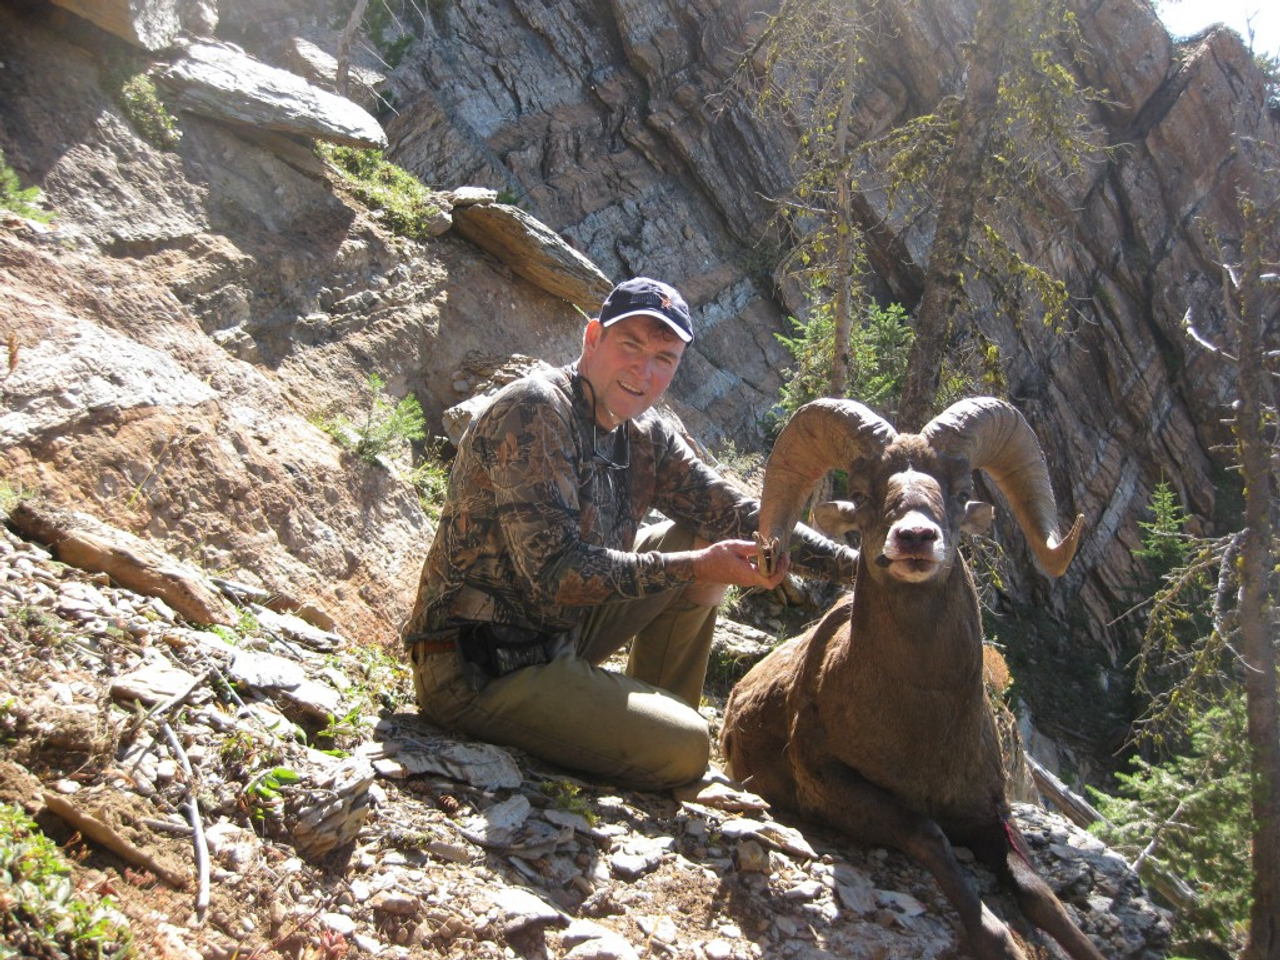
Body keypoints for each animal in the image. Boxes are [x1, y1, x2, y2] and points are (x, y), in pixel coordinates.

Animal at [721, 396, 1100, 960]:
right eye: (861, 494)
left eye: (961, 493)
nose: (916, 537)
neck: (924, 723)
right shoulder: (841, 790)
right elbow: (927, 835)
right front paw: (995, 937)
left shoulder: (990, 814)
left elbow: (1040, 895)